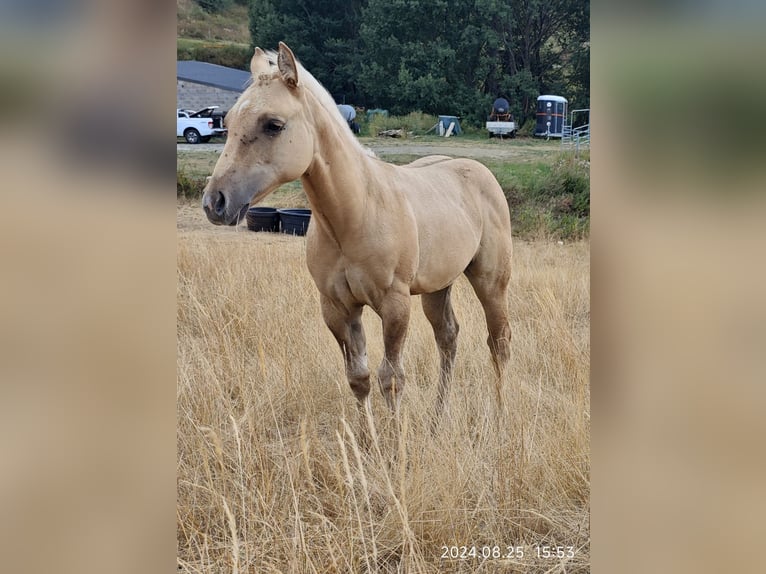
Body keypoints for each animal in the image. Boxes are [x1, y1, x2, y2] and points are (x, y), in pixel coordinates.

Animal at [204, 42, 516, 416]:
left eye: (274, 125)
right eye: (227, 121)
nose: (215, 202)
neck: (354, 216)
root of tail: (480, 172)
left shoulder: (395, 305)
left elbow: (391, 379)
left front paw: (396, 435)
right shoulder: (337, 309)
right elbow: (359, 379)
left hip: (491, 281)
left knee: (499, 342)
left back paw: (500, 416)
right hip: (437, 286)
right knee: (448, 337)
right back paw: (437, 418)